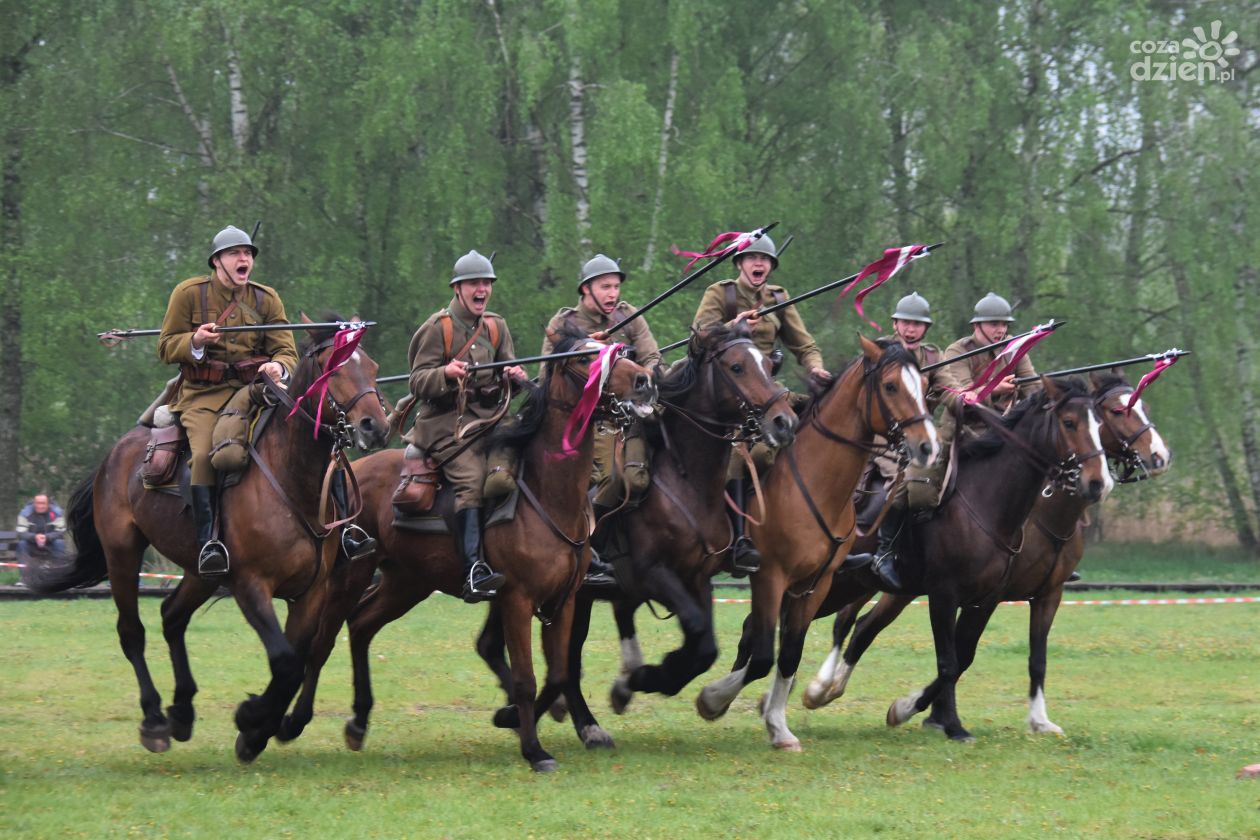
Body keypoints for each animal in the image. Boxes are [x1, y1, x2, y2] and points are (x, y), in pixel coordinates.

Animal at [28, 317, 388, 760]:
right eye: (335, 370)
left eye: (372, 368)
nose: (376, 427)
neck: (291, 477)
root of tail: (116, 453)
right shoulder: (251, 586)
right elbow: (285, 661)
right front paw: (251, 720)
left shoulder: (311, 592)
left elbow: (297, 658)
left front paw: (258, 729)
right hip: (122, 554)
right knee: (132, 632)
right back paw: (154, 719)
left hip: (201, 572)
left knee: (172, 616)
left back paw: (182, 710)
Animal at [273, 329, 650, 775]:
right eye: (582, 359)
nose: (643, 379)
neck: (546, 493)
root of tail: (350, 475)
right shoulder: (517, 600)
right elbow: (526, 678)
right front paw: (533, 749)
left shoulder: (566, 600)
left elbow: (558, 673)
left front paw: (513, 717)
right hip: (351, 576)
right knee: (324, 640)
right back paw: (292, 722)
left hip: (408, 582)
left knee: (362, 626)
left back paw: (359, 721)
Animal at [468, 324, 801, 745]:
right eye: (737, 366)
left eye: (768, 364)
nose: (784, 422)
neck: (683, 481)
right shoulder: (651, 574)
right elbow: (696, 631)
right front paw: (642, 678)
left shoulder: (696, 578)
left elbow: (705, 645)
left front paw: (652, 679)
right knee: (536, 656)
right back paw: (557, 717)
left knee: (534, 655)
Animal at [695, 334, 942, 750]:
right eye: (891, 386)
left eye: (925, 387)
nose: (928, 447)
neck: (814, 485)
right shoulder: (770, 578)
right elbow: (764, 656)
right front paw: (713, 699)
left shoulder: (814, 585)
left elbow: (789, 654)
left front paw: (777, 725)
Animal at [796, 370, 1169, 730]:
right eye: (1071, 422)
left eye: (1143, 407)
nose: (1160, 456)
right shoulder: (945, 595)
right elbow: (950, 658)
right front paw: (938, 719)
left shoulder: (1027, 596)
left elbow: (1010, 657)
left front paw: (1038, 720)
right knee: (843, 622)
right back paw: (819, 688)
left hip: (889, 589)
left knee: (861, 627)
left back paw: (825, 689)